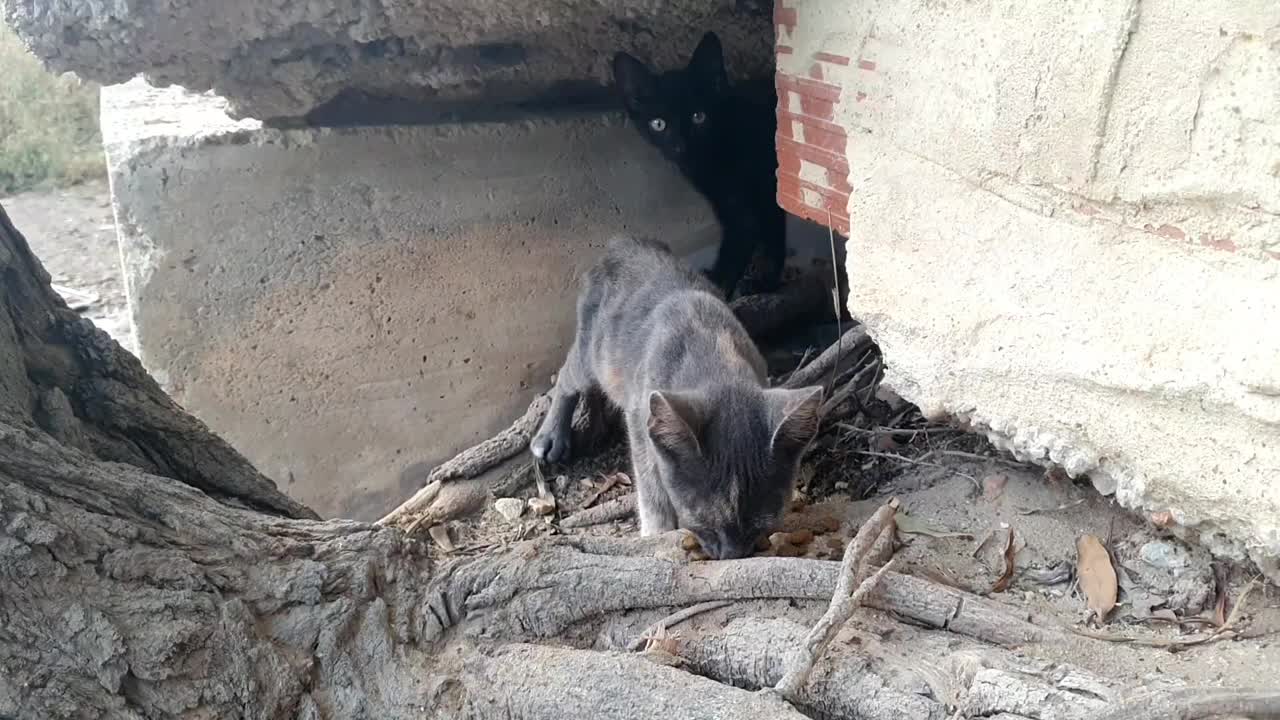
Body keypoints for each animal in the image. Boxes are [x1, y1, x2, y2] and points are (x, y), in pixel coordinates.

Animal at [535, 235, 824, 556]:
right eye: (704, 523)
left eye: (761, 526)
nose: (730, 555)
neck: (714, 355)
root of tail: (622, 243)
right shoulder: (640, 418)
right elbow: (650, 482)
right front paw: (657, 532)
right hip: (594, 353)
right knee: (567, 375)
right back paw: (550, 436)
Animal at [609, 31, 778, 297]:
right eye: (658, 124)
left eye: (699, 117)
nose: (680, 144)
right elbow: (756, 231)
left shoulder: (763, 192)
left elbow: (757, 235)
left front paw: (749, 282)